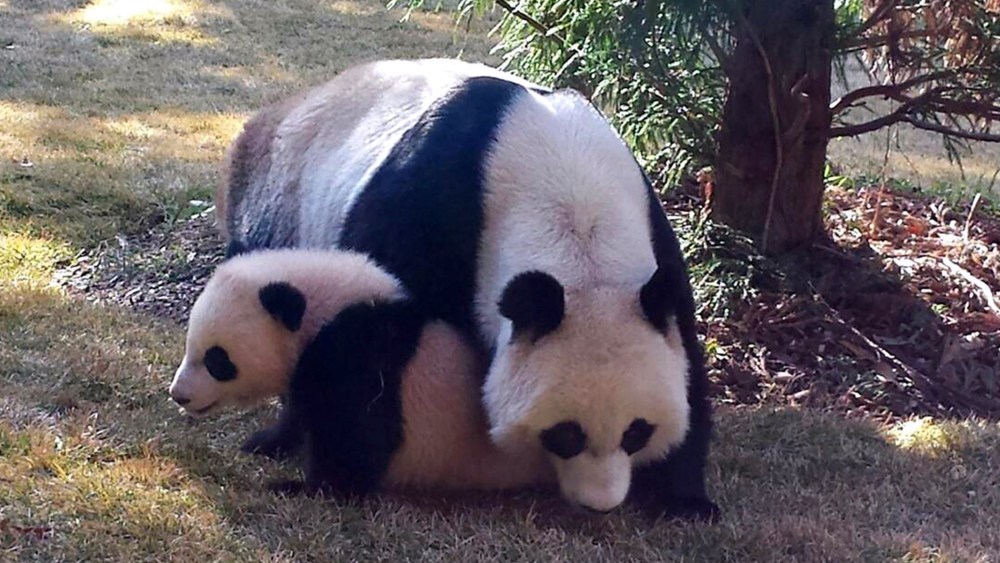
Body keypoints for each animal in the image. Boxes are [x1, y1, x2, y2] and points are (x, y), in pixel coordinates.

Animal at [170, 248, 553, 493]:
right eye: (189, 346)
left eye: (217, 360)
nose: (179, 395)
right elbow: (300, 409)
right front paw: (264, 444)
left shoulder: (359, 352)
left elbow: (356, 436)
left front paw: (300, 486)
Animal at [218, 58, 717, 521]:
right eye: (565, 434)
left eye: (637, 431)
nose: (599, 504)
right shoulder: (426, 209)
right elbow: (364, 348)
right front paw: (333, 479)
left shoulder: (655, 242)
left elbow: (687, 358)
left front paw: (686, 499)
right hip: (281, 200)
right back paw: (276, 439)